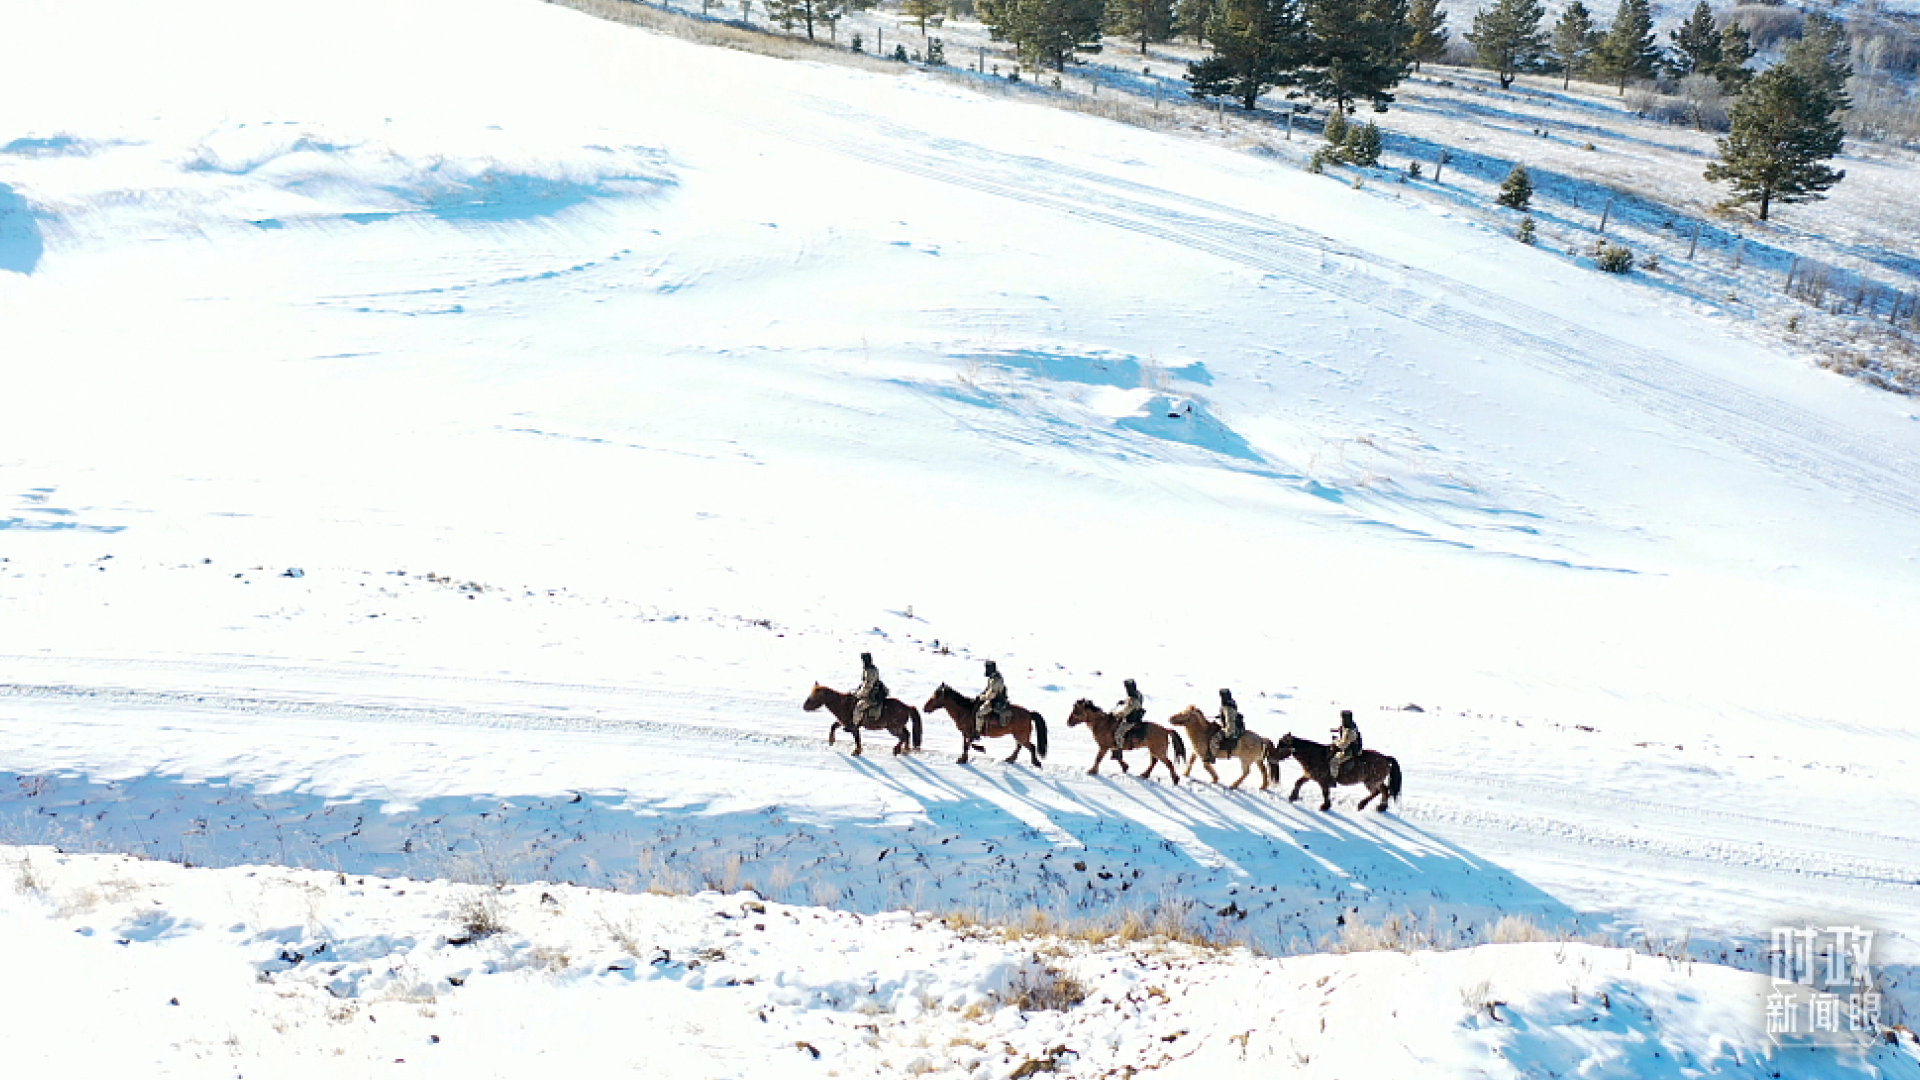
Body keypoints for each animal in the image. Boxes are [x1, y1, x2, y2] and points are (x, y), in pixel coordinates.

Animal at [1266, 733, 1402, 811]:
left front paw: (1325, 806)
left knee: (1377, 791)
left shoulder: (1323, 781)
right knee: (1384, 790)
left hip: (1370, 781)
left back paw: (1361, 805)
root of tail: (1385, 758)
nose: (1271, 758)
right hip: (1376, 781)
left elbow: (1325, 793)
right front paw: (1292, 797)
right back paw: (1381, 807)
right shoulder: (1309, 775)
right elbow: (1298, 782)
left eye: (1281, 745)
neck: (1313, 755)